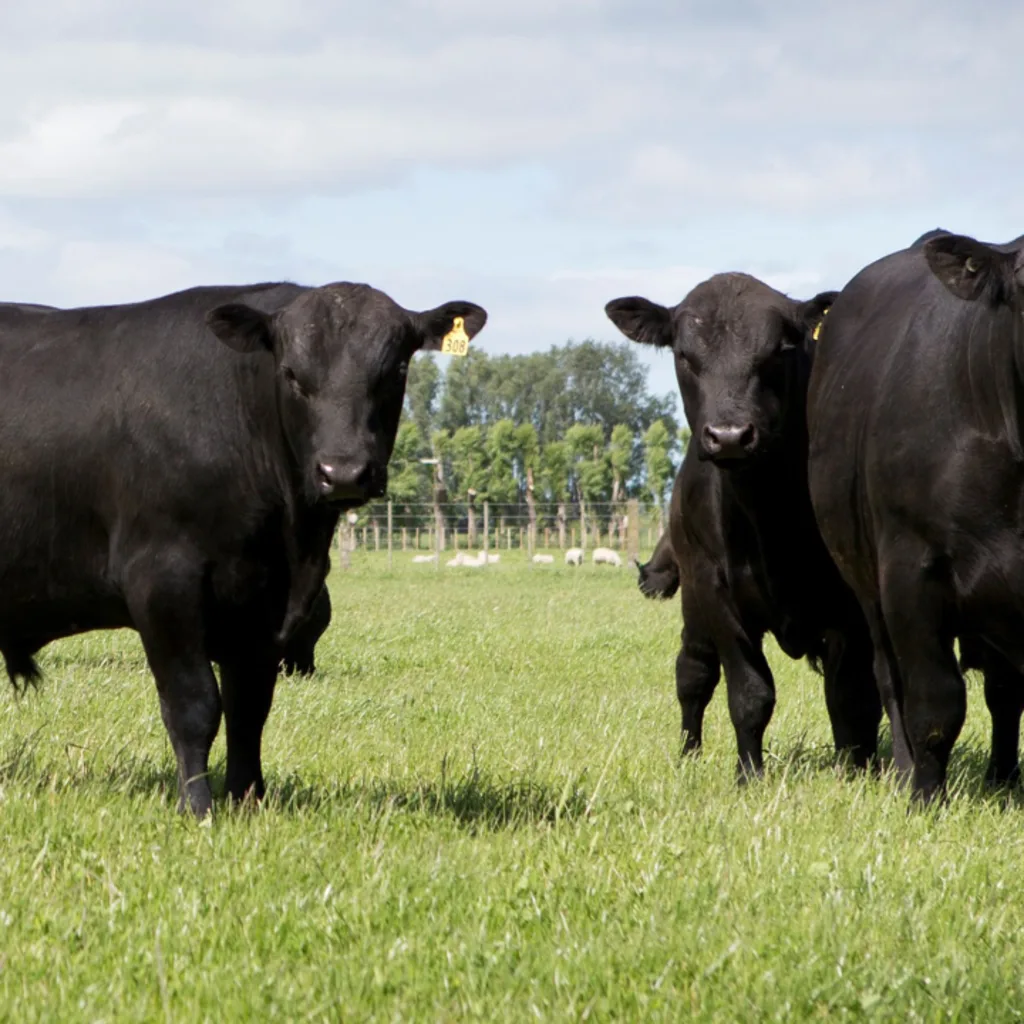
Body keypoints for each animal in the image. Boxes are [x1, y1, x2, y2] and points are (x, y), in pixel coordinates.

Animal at [0, 282, 487, 817]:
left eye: (396, 370)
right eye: (291, 373)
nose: (342, 472)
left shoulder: (267, 605)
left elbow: (249, 706)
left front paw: (248, 799)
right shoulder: (161, 581)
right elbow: (194, 704)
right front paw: (198, 807)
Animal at [606, 274, 882, 778]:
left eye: (779, 350)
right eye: (683, 354)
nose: (730, 436)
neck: (769, 512)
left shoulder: (853, 602)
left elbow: (852, 697)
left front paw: (856, 773)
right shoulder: (716, 594)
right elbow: (750, 693)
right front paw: (749, 775)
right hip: (693, 604)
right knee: (693, 673)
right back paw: (688, 754)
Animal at [807, 229, 1024, 802]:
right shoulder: (911, 567)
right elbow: (934, 704)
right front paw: (926, 797)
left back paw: (1003, 778)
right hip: (866, 580)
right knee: (890, 679)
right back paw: (906, 772)